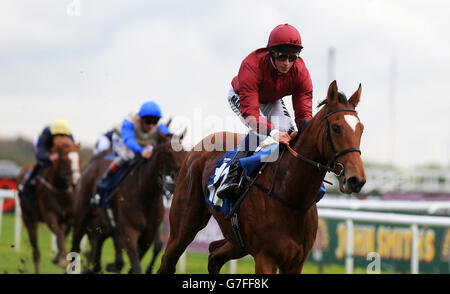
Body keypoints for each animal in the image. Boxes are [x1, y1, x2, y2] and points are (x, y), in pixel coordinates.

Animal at [17, 136, 81, 274]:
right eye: (65, 159)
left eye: (79, 159)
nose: (76, 181)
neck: (61, 189)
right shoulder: (49, 215)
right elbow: (59, 235)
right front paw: (62, 260)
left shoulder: (69, 217)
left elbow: (64, 234)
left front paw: (60, 259)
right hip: (29, 219)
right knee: (36, 252)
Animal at [71, 131, 187, 274]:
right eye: (169, 152)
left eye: (185, 151)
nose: (183, 174)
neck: (145, 195)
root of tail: (91, 163)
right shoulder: (129, 232)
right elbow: (136, 266)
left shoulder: (148, 236)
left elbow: (152, 250)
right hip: (81, 217)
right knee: (76, 245)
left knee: (99, 238)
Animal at [158, 80, 366, 274]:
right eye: (336, 128)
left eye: (361, 129)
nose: (356, 179)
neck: (289, 195)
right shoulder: (265, 258)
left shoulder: (295, 262)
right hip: (184, 226)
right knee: (168, 261)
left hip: (236, 241)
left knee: (214, 253)